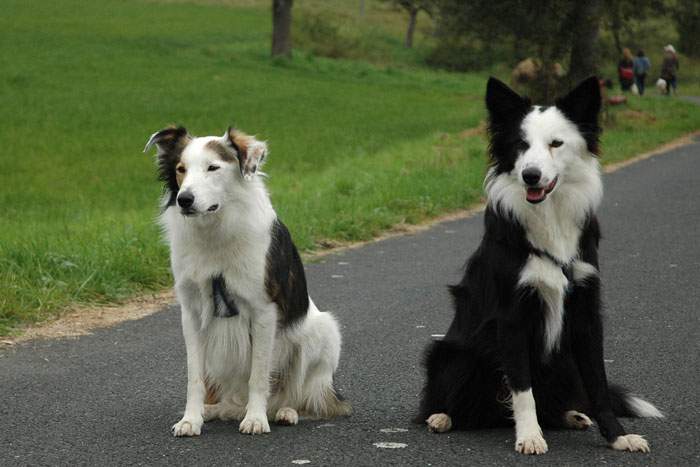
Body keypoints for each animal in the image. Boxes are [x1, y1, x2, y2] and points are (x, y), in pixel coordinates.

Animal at [144, 126, 350, 436]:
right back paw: (214, 410)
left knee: (302, 395)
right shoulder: (191, 314)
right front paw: (191, 419)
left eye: (213, 167)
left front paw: (255, 418)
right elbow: (194, 378)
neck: (215, 230)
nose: (184, 200)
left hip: (322, 333)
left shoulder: (264, 311)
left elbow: (259, 374)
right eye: (181, 169)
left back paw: (284, 411)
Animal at [416, 78, 660, 456]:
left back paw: (571, 416)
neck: (550, 216)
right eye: (521, 145)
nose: (531, 176)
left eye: (556, 144)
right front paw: (530, 436)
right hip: (452, 353)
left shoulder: (586, 313)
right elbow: (522, 387)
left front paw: (618, 436)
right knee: (452, 400)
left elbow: (598, 384)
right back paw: (442, 417)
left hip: (564, 360)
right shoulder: (511, 315)